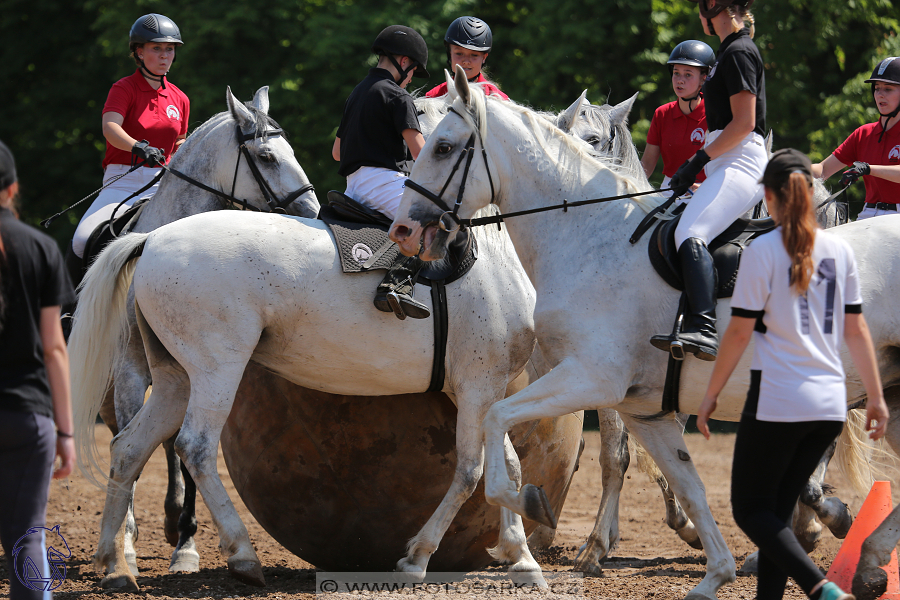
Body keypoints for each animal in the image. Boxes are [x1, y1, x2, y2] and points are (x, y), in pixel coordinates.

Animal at [81, 85, 320, 576]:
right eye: (266, 156)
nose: (312, 210)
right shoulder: (132, 373)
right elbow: (133, 442)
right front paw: (125, 545)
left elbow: (179, 450)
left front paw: (186, 543)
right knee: (127, 435)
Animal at [390, 67, 896, 600]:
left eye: (443, 146)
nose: (402, 229)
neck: (590, 236)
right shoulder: (637, 403)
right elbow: (679, 481)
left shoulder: (591, 377)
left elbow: (498, 427)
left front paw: (528, 514)